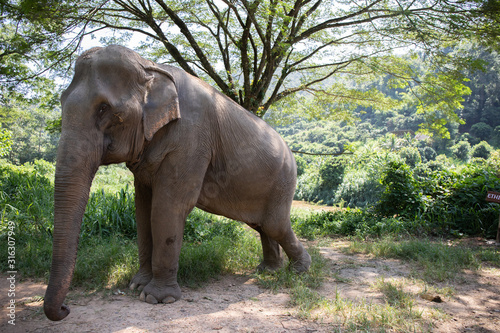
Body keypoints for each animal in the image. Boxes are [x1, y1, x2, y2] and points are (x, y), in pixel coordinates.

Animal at [43, 44, 310, 320]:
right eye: (61, 102)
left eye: (104, 109)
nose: (65, 309)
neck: (151, 67)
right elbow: (143, 210)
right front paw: (137, 285)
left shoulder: (191, 140)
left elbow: (168, 206)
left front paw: (156, 298)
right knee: (262, 226)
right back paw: (268, 270)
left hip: (283, 182)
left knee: (275, 225)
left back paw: (299, 271)